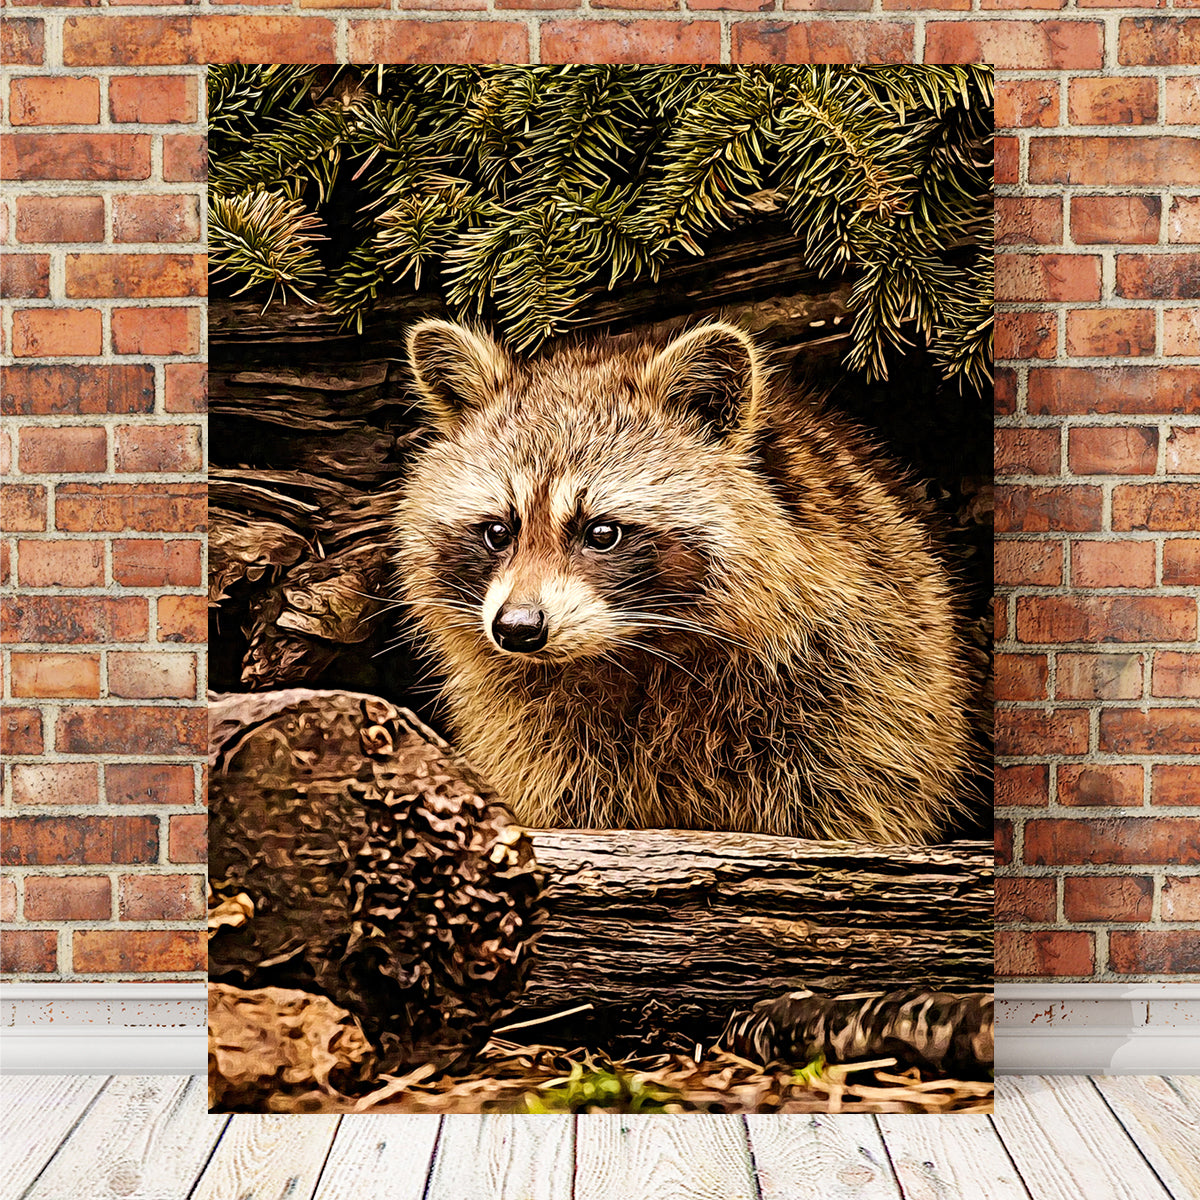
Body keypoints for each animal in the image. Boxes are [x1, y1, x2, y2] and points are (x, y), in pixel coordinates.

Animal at [392, 318, 973, 843]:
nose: (517, 627)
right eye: (498, 531)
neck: (631, 652)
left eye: (602, 532)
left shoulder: (855, 689)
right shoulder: (533, 730)